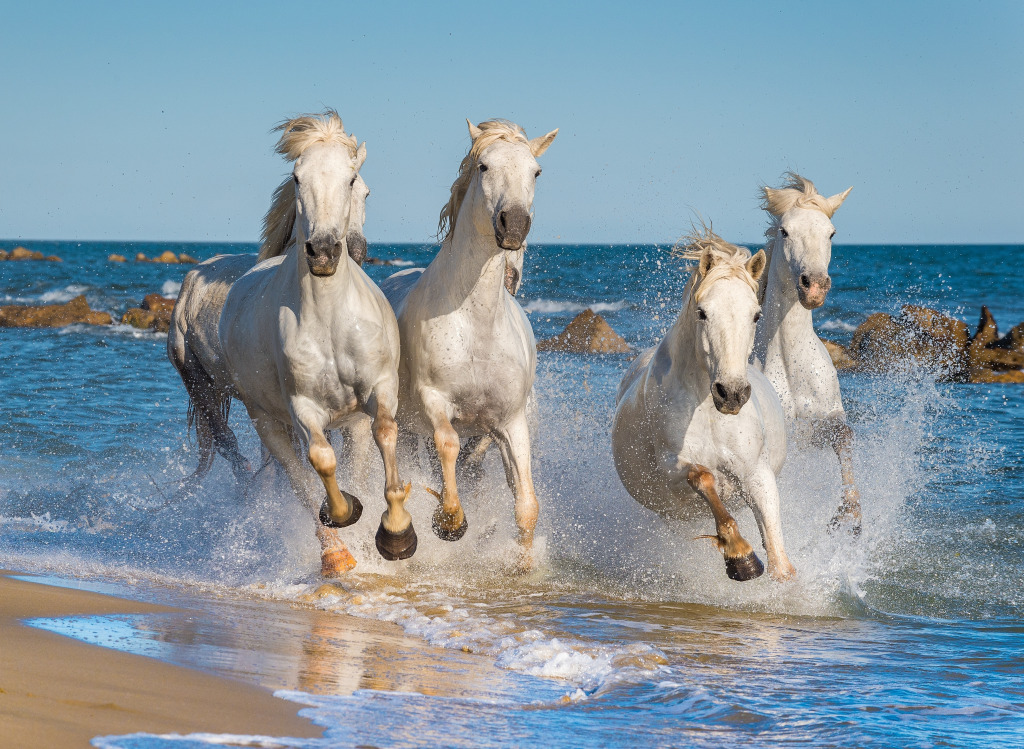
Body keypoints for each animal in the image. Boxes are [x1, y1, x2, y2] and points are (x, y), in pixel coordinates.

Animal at [218, 112, 409, 581]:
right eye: (297, 177)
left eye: (355, 180)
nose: (323, 251)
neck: (329, 318)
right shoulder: (302, 407)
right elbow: (321, 461)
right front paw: (345, 515)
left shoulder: (379, 391)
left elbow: (386, 433)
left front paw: (397, 533)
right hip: (267, 423)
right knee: (299, 478)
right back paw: (336, 554)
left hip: (350, 424)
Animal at [382, 119, 561, 569]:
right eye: (483, 166)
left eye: (536, 172)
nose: (513, 225)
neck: (477, 324)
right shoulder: (434, 401)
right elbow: (446, 444)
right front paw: (449, 521)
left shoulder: (509, 423)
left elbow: (526, 504)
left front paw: (523, 566)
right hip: (407, 427)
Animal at [610, 231, 794, 581]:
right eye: (702, 312)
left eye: (756, 315)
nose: (731, 394)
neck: (708, 410)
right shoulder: (672, 467)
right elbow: (703, 477)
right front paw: (741, 557)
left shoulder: (757, 474)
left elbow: (780, 560)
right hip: (674, 515)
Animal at [749, 173, 860, 528]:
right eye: (784, 231)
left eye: (831, 232)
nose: (815, 286)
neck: (790, 362)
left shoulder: (821, 424)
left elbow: (844, 436)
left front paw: (850, 512)